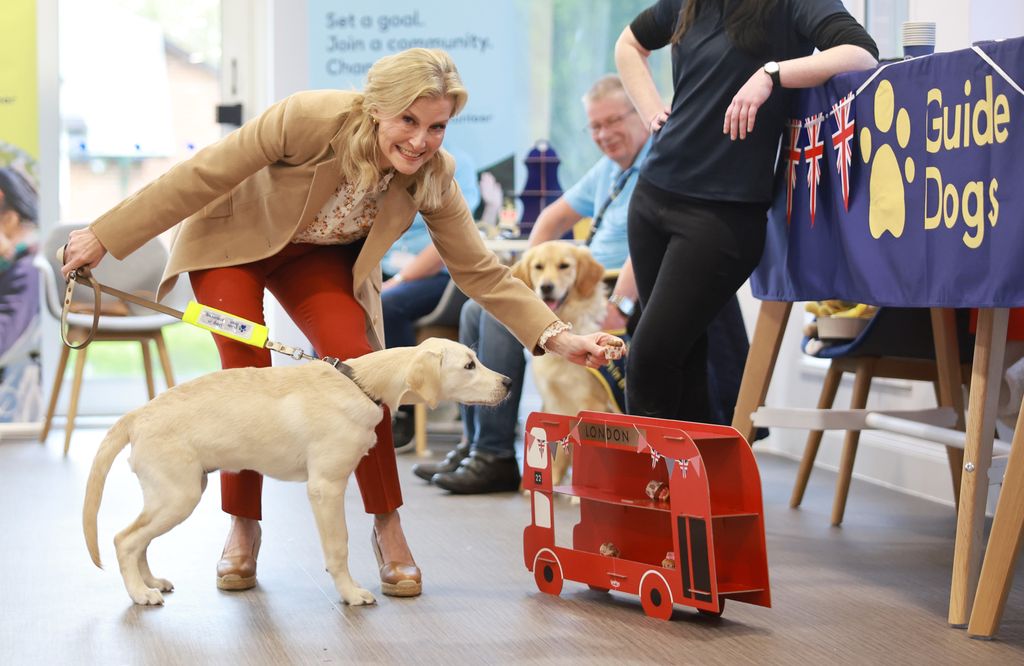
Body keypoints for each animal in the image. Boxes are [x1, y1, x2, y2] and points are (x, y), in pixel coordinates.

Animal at [81, 340, 512, 602]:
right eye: (469, 365)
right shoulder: (326, 487)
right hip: (178, 496)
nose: (508, 382)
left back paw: (150, 581)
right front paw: (350, 593)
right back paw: (140, 594)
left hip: (172, 494)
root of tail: (138, 413)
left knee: (139, 541)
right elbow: (338, 546)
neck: (361, 385)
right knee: (124, 539)